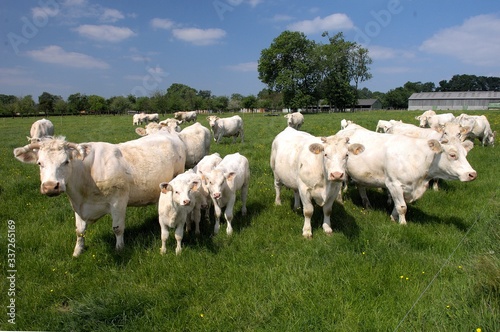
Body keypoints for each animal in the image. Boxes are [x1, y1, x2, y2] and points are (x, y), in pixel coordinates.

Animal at [13, 132, 187, 256]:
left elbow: (117, 228)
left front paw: (119, 249)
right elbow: (79, 230)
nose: (50, 187)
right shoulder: (77, 205)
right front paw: (78, 251)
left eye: (66, 162)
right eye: (39, 163)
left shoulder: (118, 202)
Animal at [336, 127, 476, 226]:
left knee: (361, 187)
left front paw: (393, 218)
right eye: (452, 155)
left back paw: (367, 204)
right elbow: (402, 207)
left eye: (465, 154)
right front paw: (402, 224)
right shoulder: (394, 184)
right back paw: (341, 200)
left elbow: (398, 205)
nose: (472, 174)